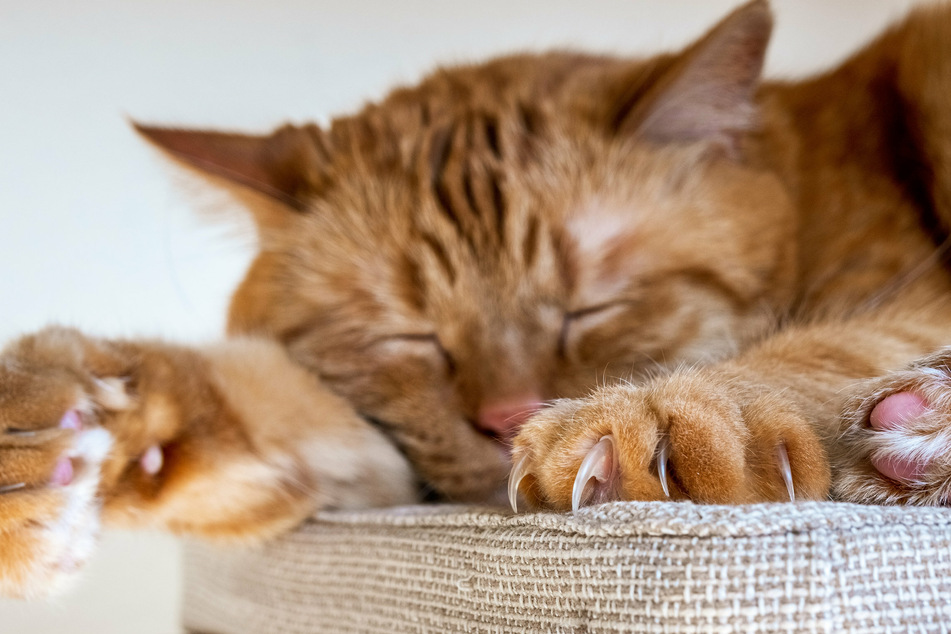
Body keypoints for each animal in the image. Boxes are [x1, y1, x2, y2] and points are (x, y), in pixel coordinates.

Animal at [1, 0, 951, 596]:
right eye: (410, 338)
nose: (506, 417)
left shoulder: (916, 295)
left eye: (588, 308)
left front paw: (687, 412)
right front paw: (64, 426)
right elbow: (253, 408)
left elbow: (831, 343)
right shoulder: (387, 465)